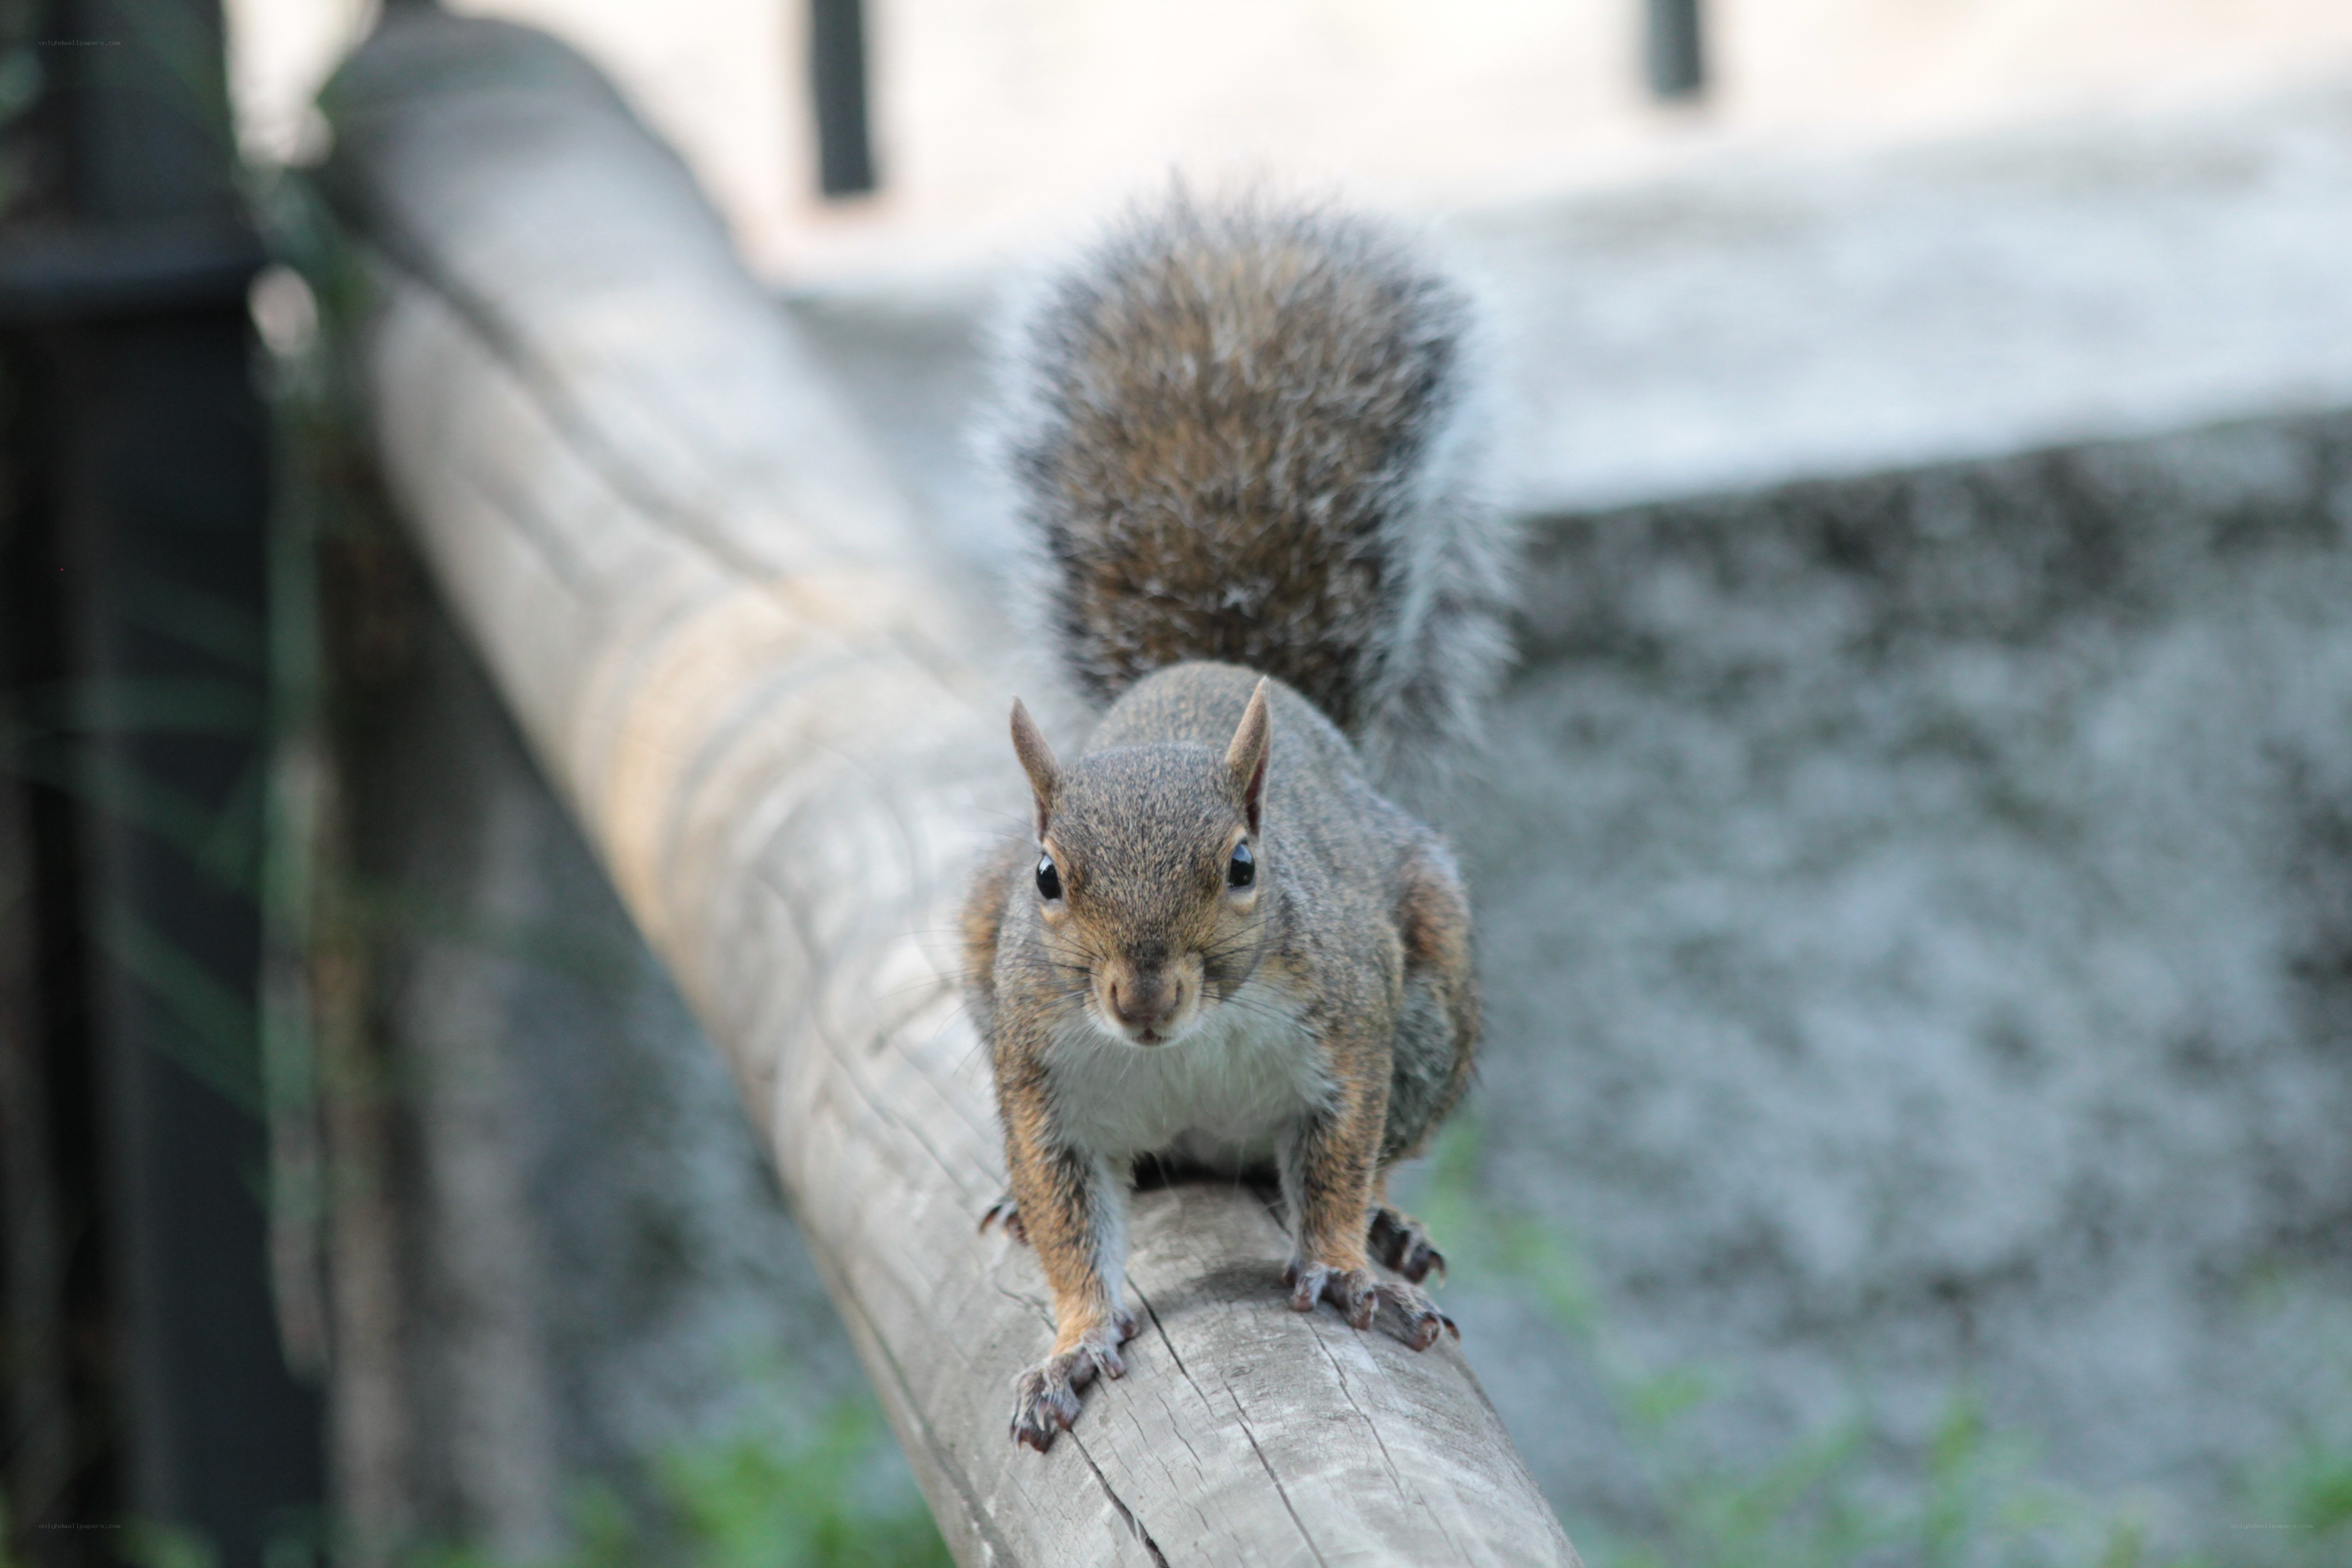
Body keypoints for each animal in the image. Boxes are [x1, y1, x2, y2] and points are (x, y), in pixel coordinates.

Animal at [960, 192, 1515, 1453]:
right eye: (1048, 877)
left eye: (1245, 865)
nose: (1143, 998)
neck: (1187, 1045)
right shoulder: (1040, 1080)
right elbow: (1069, 1219)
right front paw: (1071, 1344)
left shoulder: (1349, 1022)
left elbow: (1339, 1160)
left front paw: (1346, 1263)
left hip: (1433, 996)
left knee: (1366, 1146)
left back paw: (1389, 1228)